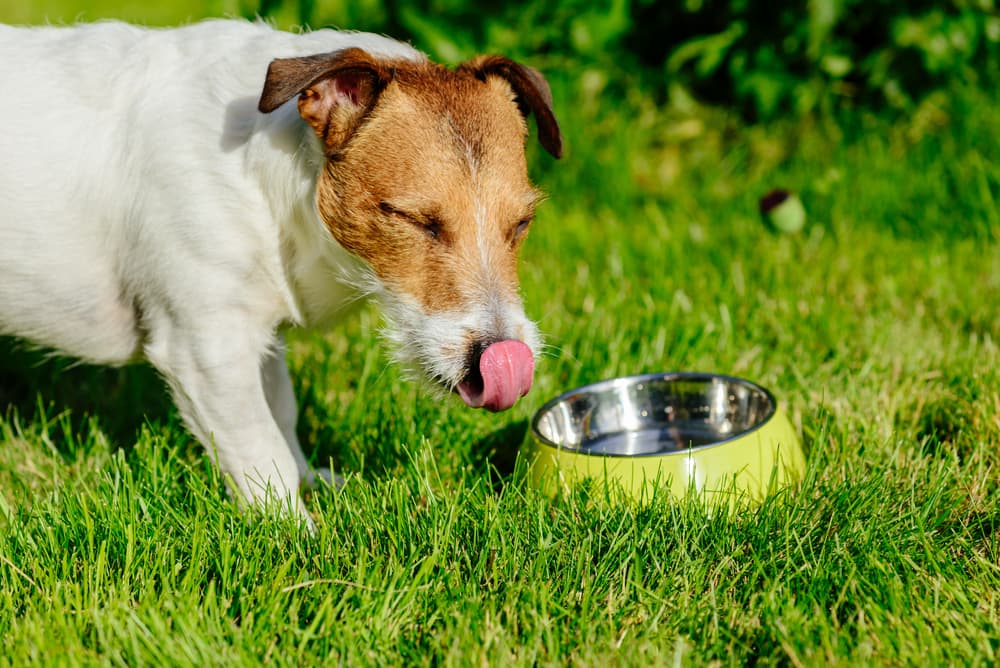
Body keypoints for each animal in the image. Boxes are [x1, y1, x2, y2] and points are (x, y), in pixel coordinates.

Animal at [0, 19, 564, 520]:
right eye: (414, 219)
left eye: (522, 223)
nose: (502, 357)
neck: (262, 176)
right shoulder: (206, 348)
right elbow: (260, 446)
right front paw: (295, 533)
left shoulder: (260, 330)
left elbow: (282, 412)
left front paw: (311, 482)